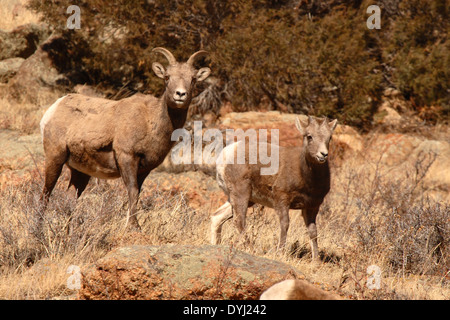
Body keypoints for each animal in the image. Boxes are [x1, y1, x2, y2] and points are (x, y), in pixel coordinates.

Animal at [39, 46, 211, 229]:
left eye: (193, 79)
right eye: (167, 77)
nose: (180, 94)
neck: (151, 122)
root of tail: (54, 108)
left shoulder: (144, 169)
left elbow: (137, 193)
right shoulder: (126, 157)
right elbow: (133, 191)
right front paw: (134, 226)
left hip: (80, 172)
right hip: (55, 160)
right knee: (45, 195)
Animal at [211, 115, 338, 260]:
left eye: (329, 137)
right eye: (309, 136)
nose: (323, 154)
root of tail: (225, 154)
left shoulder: (312, 207)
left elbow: (313, 232)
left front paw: (315, 260)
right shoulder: (282, 201)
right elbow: (285, 224)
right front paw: (280, 253)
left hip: (242, 199)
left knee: (217, 217)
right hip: (241, 195)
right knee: (240, 222)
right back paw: (250, 249)